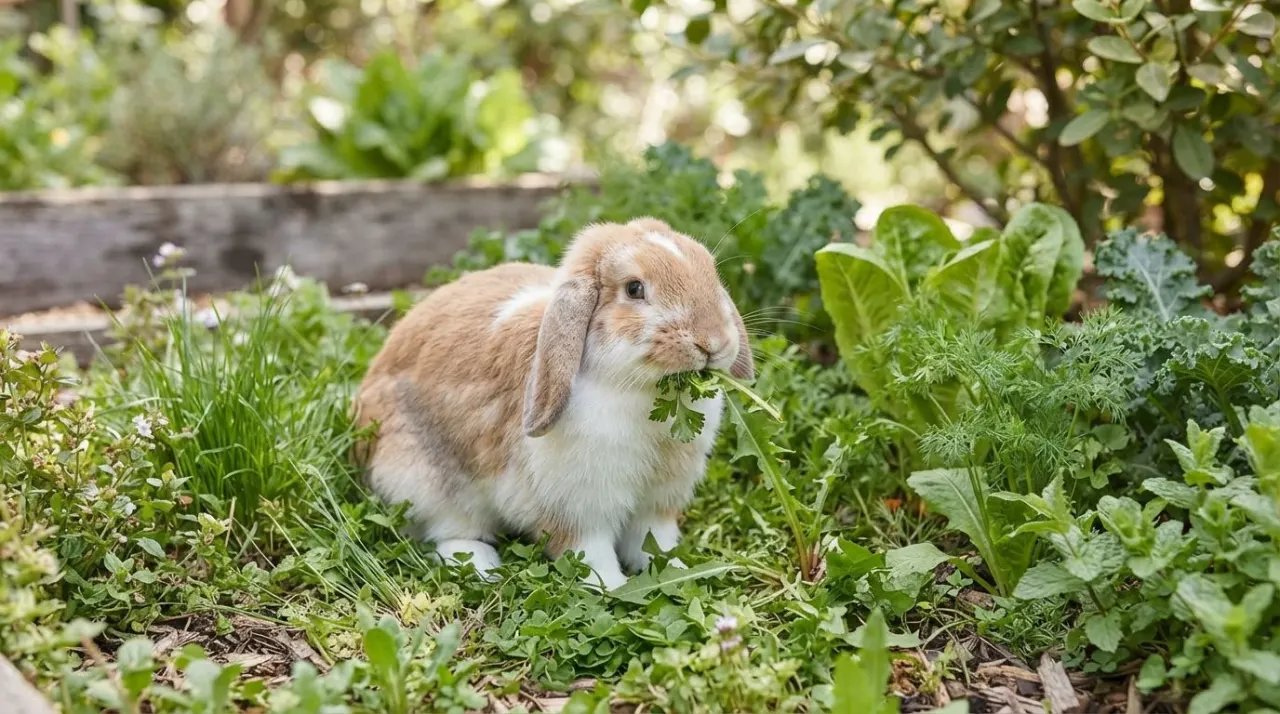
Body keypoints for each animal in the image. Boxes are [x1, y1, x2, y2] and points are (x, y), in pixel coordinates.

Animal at [352, 218, 753, 590]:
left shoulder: (657, 504)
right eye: (634, 288)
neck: (643, 391)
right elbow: (590, 551)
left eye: (709, 270)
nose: (714, 342)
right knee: (448, 532)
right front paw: (613, 588)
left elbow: (654, 542)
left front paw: (677, 573)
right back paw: (482, 566)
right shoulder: (579, 506)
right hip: (425, 483)